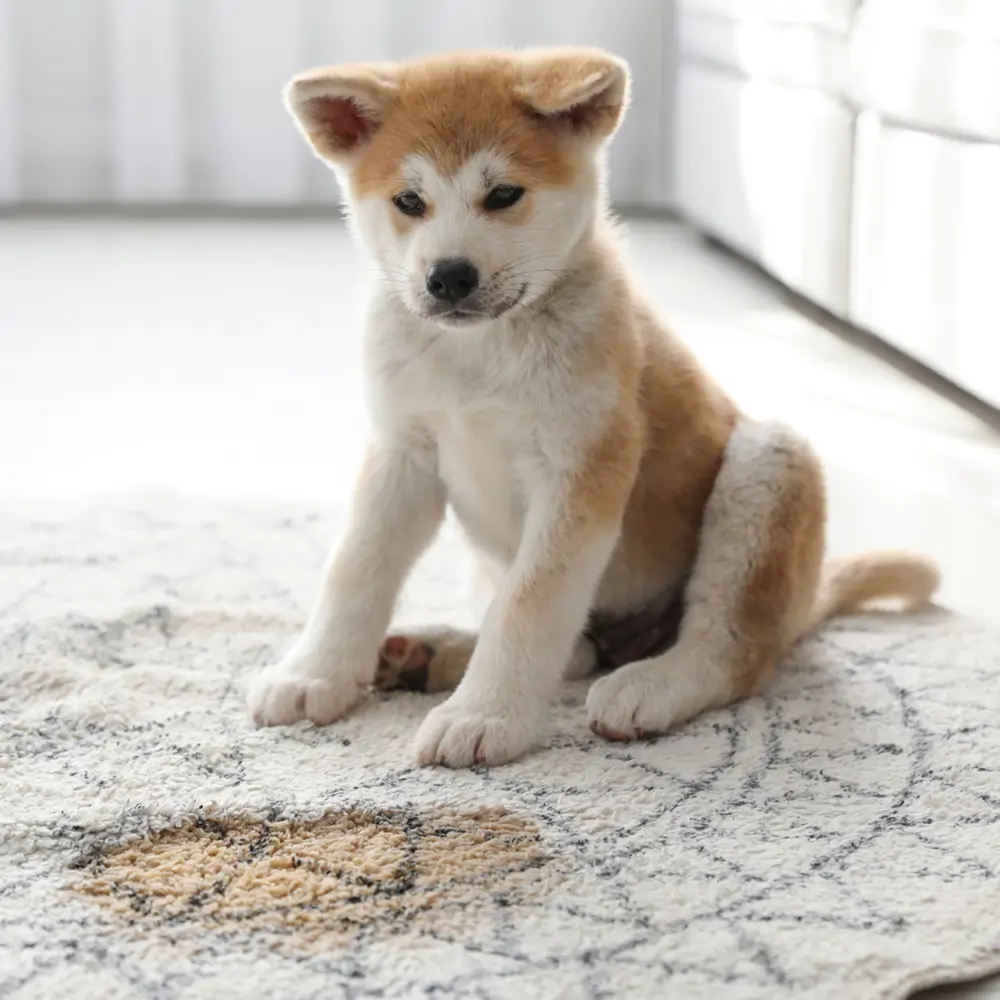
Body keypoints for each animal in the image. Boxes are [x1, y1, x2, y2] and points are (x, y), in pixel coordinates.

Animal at [248, 45, 936, 764]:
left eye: (503, 195)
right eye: (410, 200)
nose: (449, 276)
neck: (479, 355)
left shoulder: (580, 468)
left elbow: (531, 603)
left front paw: (485, 714)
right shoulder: (401, 454)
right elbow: (355, 569)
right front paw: (314, 673)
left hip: (768, 459)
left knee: (729, 649)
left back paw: (650, 685)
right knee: (576, 649)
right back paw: (431, 652)